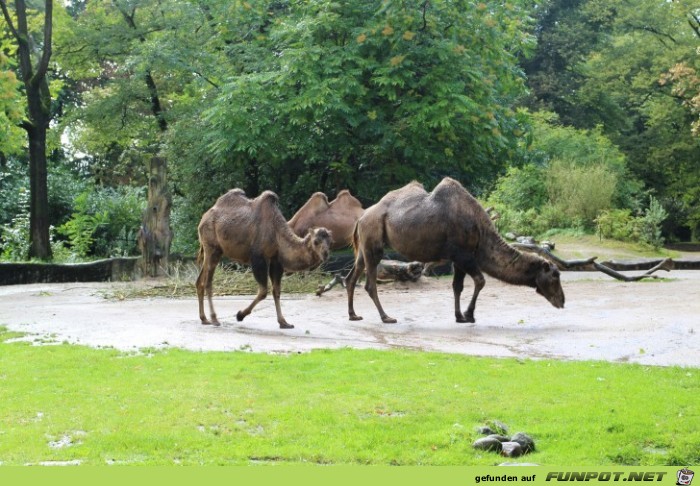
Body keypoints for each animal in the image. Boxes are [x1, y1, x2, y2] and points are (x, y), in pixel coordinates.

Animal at [194, 188, 330, 328]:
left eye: (329, 241)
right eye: (316, 242)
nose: (326, 253)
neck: (277, 234)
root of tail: (204, 218)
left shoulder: (276, 260)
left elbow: (276, 291)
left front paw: (284, 322)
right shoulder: (258, 258)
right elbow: (264, 291)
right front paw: (240, 315)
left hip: (214, 250)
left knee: (200, 281)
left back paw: (204, 319)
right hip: (212, 247)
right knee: (208, 282)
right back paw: (214, 319)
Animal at [348, 178, 568, 322]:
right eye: (555, 276)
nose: (562, 301)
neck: (481, 231)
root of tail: (360, 219)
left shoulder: (457, 259)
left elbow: (457, 286)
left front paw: (459, 316)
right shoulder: (464, 256)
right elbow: (480, 281)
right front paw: (469, 315)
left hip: (365, 246)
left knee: (352, 276)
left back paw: (353, 315)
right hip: (373, 242)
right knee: (370, 283)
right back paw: (386, 317)